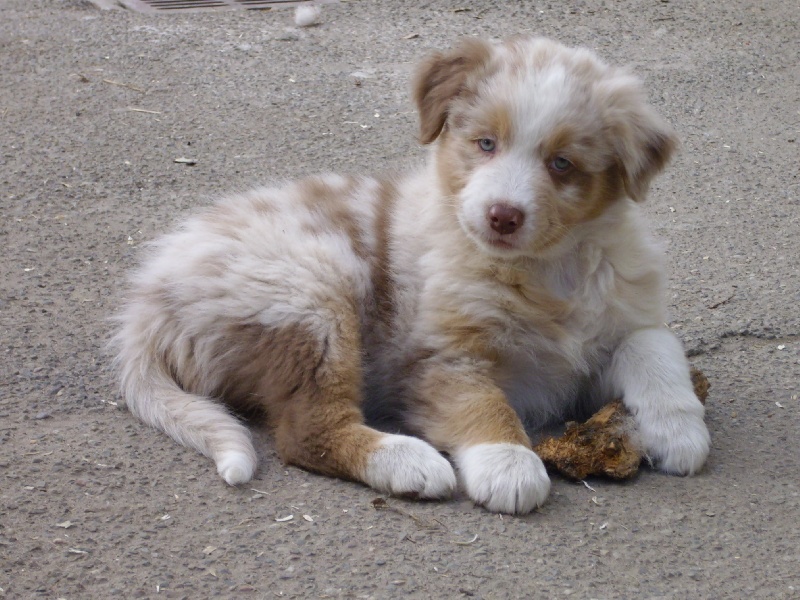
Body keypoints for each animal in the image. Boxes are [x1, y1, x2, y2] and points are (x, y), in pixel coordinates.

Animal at [112, 37, 708, 512]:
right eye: (485, 143)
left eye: (561, 164)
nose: (503, 215)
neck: (546, 271)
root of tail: (151, 298)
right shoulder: (442, 358)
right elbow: (483, 404)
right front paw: (509, 465)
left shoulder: (607, 328)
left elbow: (654, 345)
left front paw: (679, 429)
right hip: (316, 293)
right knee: (306, 432)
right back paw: (407, 461)